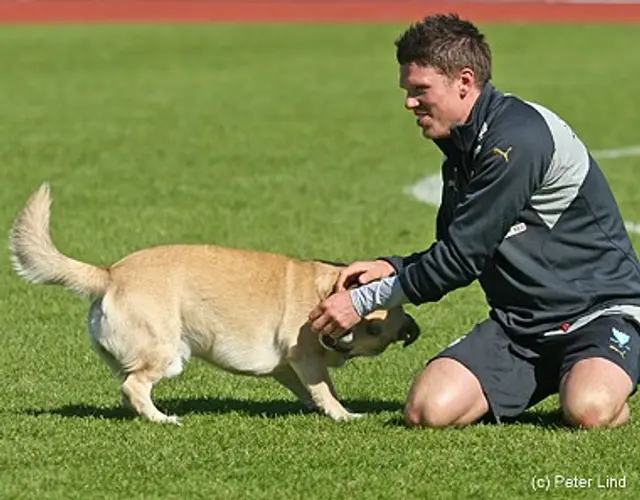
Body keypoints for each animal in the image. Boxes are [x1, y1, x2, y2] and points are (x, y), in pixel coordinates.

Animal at [11, 186, 420, 424]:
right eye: (360, 320)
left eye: (373, 329)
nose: (336, 339)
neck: (323, 290)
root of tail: (109, 274)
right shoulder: (306, 357)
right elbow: (325, 389)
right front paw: (343, 414)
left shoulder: (290, 366)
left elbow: (313, 388)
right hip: (168, 353)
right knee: (134, 387)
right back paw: (162, 419)